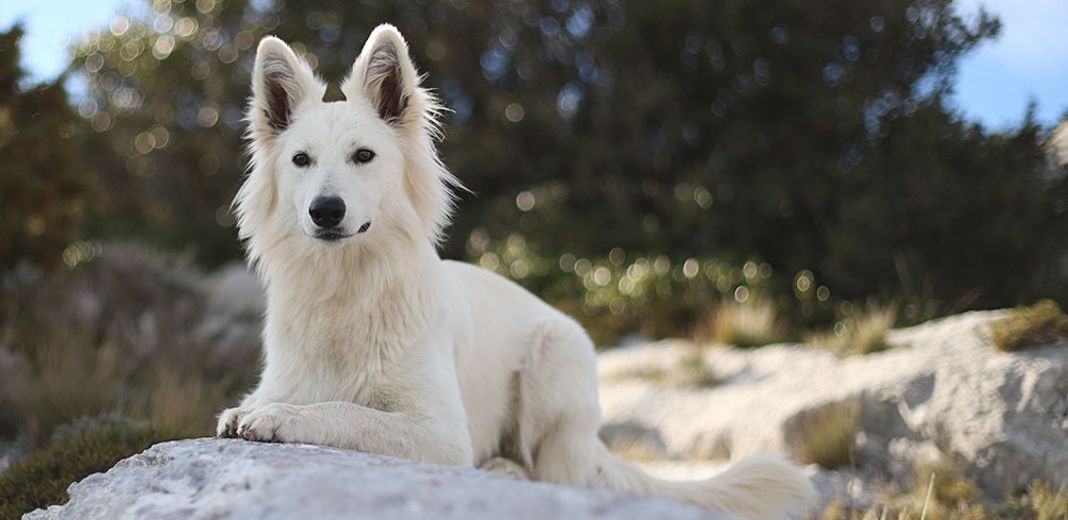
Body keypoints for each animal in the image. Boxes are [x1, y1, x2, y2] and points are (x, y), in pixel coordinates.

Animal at [218, 25, 815, 520]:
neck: (345, 290)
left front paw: (277, 418)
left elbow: (344, 410)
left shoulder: (441, 433)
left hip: (552, 358)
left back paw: (505, 467)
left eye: (363, 155)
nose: (326, 211)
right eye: (301, 161)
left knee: (553, 473)